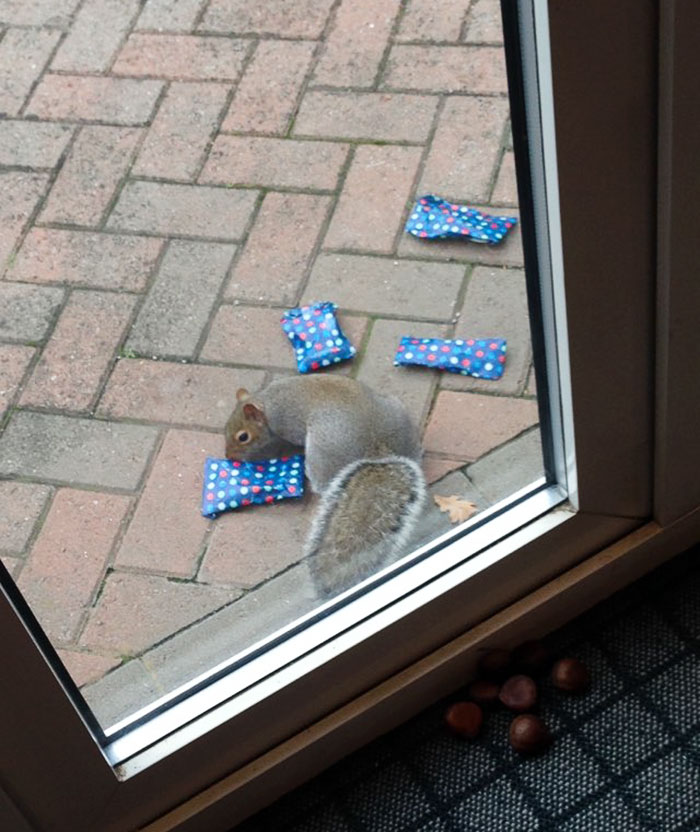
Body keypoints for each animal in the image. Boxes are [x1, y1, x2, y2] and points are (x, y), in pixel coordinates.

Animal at [224, 375, 427, 597]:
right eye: (225, 428)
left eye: (243, 437)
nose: (229, 457)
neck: (267, 400)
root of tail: (378, 449)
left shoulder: (287, 424)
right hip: (398, 412)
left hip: (319, 453)